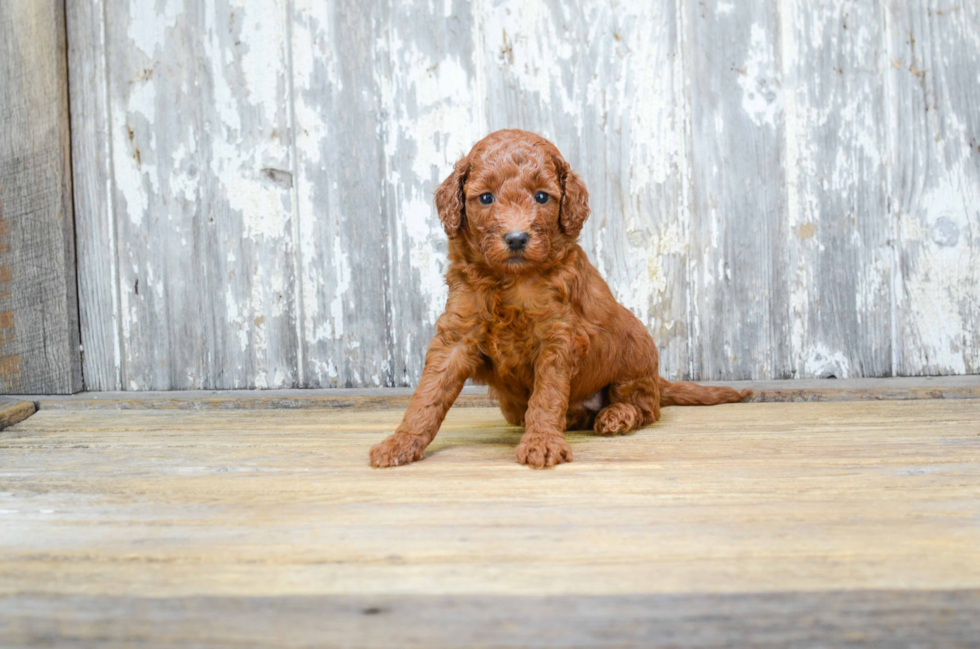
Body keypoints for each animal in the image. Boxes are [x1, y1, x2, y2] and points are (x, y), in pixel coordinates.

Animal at [370, 129, 752, 468]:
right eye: (486, 198)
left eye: (542, 197)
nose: (516, 238)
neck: (510, 279)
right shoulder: (457, 335)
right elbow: (429, 394)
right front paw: (400, 442)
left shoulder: (558, 338)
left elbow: (547, 394)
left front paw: (542, 443)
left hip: (633, 353)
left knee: (646, 408)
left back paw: (616, 415)